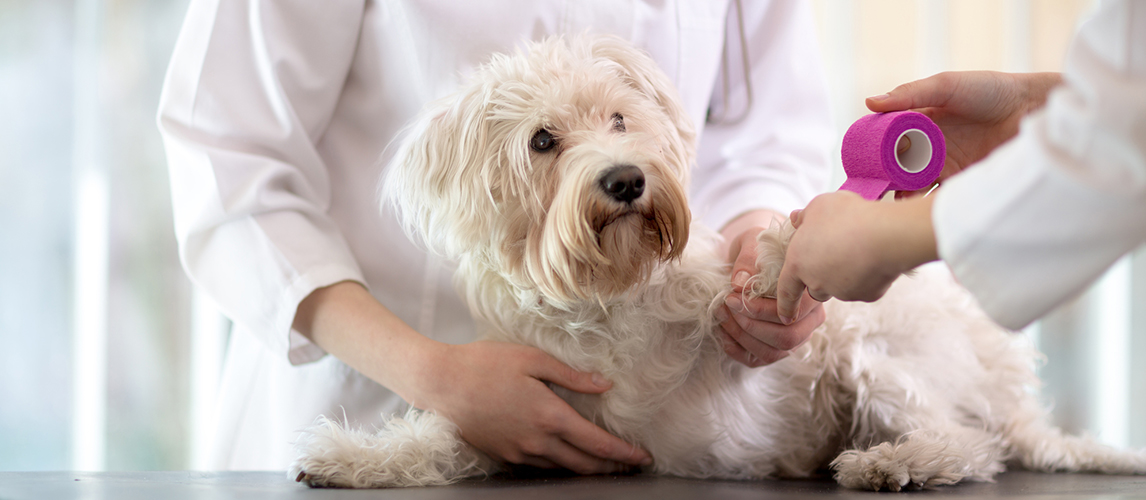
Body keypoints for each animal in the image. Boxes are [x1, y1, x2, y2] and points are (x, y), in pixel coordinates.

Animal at [288, 36, 1146, 493]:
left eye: (618, 118)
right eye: (543, 140)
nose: (625, 180)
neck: (607, 296)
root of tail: (1011, 392)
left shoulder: (753, 346)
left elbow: (744, 301)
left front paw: (778, 253)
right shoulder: (527, 415)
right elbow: (440, 438)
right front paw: (353, 457)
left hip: (879, 357)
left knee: (970, 444)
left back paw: (895, 462)